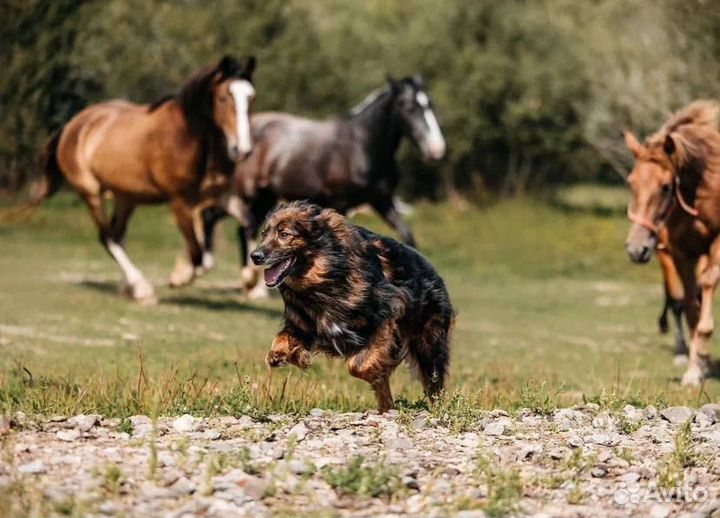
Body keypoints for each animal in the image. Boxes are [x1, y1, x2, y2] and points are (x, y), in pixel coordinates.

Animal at [36, 55, 258, 304]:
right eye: (223, 97)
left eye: (251, 97)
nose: (242, 150)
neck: (190, 136)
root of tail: (73, 125)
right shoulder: (179, 201)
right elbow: (197, 255)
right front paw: (179, 278)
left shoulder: (220, 194)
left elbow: (248, 223)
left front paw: (250, 278)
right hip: (90, 193)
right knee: (108, 237)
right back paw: (141, 288)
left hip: (126, 197)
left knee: (116, 236)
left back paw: (132, 288)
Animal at [201, 74, 444, 294]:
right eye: (408, 106)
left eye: (430, 104)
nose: (436, 150)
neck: (362, 147)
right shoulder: (342, 203)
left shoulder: (382, 202)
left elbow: (407, 237)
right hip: (248, 194)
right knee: (228, 221)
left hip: (264, 198)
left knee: (242, 227)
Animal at [248, 201, 450, 412]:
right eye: (264, 234)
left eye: (284, 234)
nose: (255, 256)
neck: (324, 278)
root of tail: (432, 269)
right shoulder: (302, 325)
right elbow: (282, 337)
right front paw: (281, 354)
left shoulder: (387, 315)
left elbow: (357, 366)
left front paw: (375, 369)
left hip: (428, 347)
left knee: (435, 387)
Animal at [620, 100, 716, 386]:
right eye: (631, 183)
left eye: (665, 186)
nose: (635, 248)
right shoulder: (677, 252)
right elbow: (686, 304)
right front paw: (693, 365)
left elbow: (704, 289)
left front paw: (701, 356)